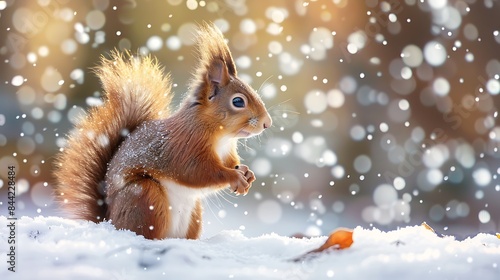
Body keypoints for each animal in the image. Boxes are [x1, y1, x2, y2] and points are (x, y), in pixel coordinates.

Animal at [53, 23, 274, 240]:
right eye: (238, 101)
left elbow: (230, 163)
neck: (221, 136)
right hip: (145, 195)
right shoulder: (185, 146)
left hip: (193, 214)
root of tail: (110, 221)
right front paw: (234, 177)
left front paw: (246, 173)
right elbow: (199, 172)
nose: (267, 123)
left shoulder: (227, 152)